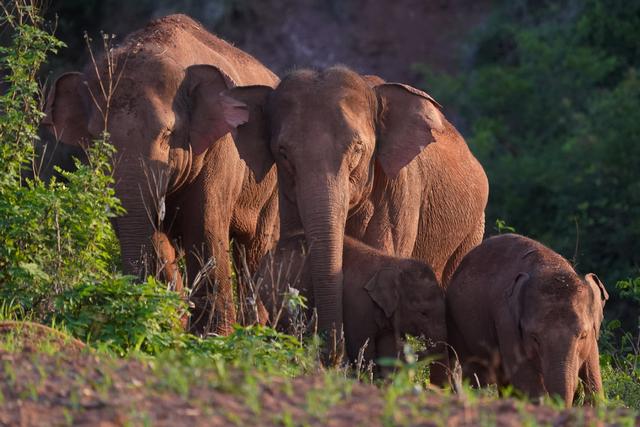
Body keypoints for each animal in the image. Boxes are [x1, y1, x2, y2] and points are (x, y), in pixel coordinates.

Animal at [42, 15, 278, 336]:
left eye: (167, 134)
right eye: (95, 139)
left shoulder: (221, 151)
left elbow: (204, 228)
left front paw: (213, 335)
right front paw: (171, 322)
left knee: (255, 248)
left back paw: (259, 330)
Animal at [442, 234, 608, 408]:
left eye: (583, 335)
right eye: (534, 338)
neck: (551, 266)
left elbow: (593, 375)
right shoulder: (506, 321)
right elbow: (524, 377)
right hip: (457, 326)